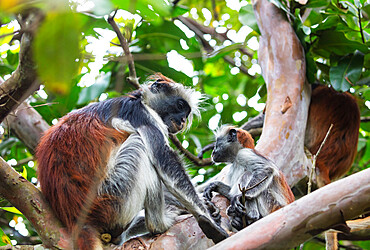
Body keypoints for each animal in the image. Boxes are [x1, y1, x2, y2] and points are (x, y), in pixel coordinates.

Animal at [36, 72, 228, 248]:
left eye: (186, 113)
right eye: (180, 105)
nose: (181, 120)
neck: (138, 99)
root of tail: (76, 219)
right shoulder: (141, 113)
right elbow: (164, 158)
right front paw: (207, 218)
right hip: (113, 198)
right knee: (140, 144)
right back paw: (159, 224)